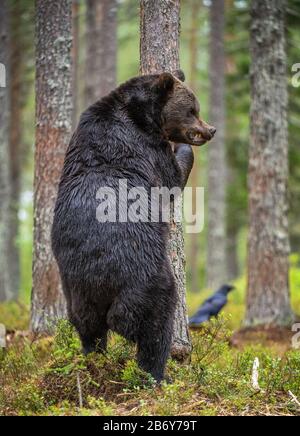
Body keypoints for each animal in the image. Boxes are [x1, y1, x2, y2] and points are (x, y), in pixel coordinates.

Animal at [51, 70, 216, 382]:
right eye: (192, 110)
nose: (210, 130)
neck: (140, 114)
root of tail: (102, 275)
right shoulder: (149, 149)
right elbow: (173, 177)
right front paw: (183, 148)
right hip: (147, 277)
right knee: (154, 324)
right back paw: (156, 374)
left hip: (76, 287)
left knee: (88, 326)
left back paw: (95, 357)